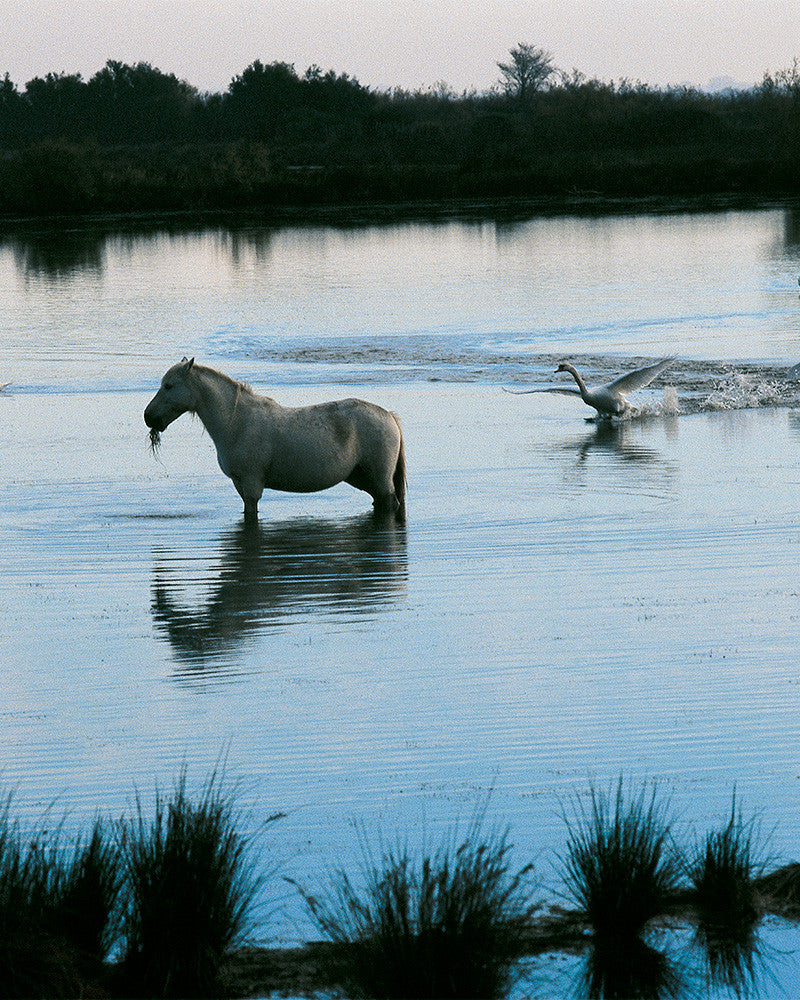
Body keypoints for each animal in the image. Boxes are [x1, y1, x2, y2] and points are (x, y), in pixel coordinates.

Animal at [144, 358, 406, 522]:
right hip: (363, 478)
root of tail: (388, 416)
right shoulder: (239, 484)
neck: (237, 422)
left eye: (169, 386)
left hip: (380, 479)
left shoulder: (251, 485)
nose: (148, 417)